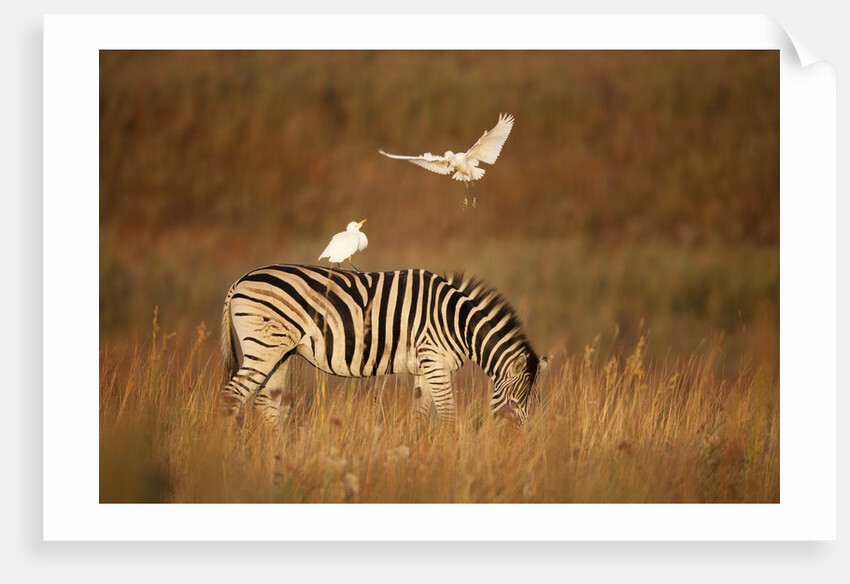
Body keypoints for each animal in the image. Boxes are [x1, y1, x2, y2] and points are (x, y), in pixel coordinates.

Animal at [220, 264, 549, 427]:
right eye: (514, 402)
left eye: (534, 403)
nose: (518, 440)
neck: (456, 321)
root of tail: (240, 280)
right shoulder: (435, 362)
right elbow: (448, 414)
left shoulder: (425, 367)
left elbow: (420, 414)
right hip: (263, 348)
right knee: (232, 397)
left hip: (281, 352)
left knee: (265, 405)